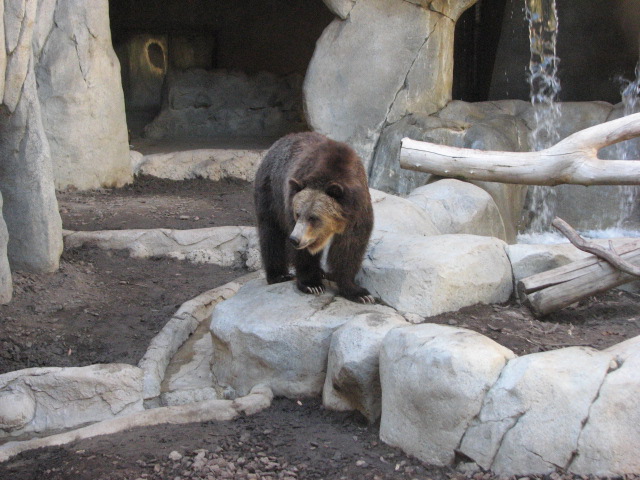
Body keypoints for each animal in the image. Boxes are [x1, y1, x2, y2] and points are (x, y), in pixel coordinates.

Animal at [254, 132, 374, 304]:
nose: (295, 239)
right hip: (270, 193)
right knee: (271, 233)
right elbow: (303, 254)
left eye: (313, 217)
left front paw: (359, 292)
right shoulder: (290, 204)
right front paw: (312, 284)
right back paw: (279, 275)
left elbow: (349, 247)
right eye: (298, 214)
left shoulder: (357, 209)